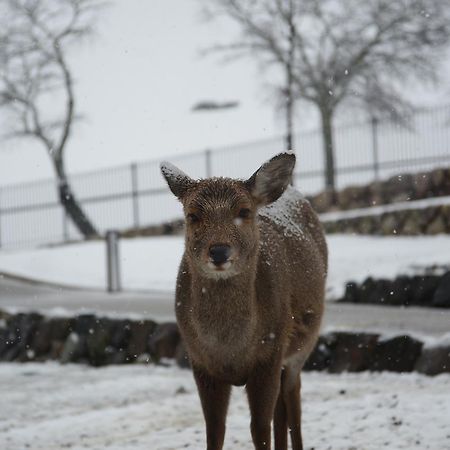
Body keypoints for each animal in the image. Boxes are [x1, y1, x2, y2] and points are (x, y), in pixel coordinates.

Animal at [160, 152, 326, 450]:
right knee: (281, 409)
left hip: (302, 347)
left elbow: (259, 429)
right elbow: (215, 429)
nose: (219, 251)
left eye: (244, 212)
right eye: (193, 215)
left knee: (292, 400)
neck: (230, 350)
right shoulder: (200, 362)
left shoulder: (269, 355)